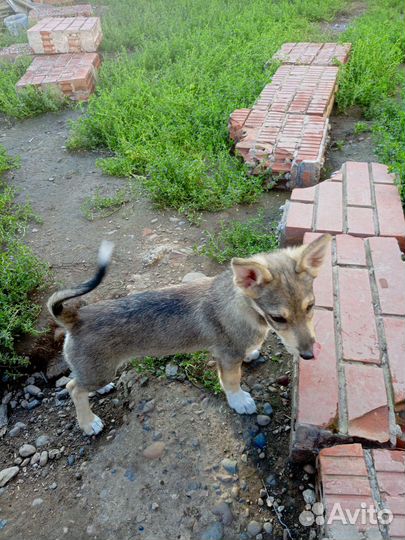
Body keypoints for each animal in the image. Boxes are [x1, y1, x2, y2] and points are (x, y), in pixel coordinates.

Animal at [49, 235, 330, 434]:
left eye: (311, 307)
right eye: (278, 318)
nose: (309, 355)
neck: (243, 306)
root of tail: (76, 318)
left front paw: (251, 352)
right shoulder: (227, 357)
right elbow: (232, 382)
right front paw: (240, 401)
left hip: (96, 370)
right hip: (97, 372)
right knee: (74, 388)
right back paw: (88, 423)